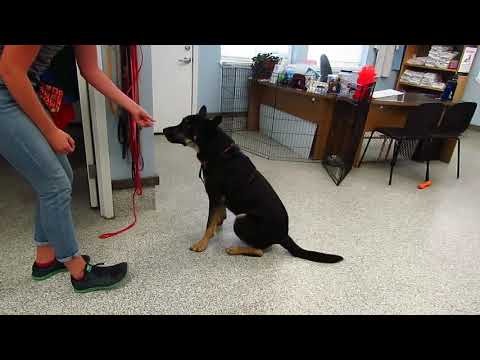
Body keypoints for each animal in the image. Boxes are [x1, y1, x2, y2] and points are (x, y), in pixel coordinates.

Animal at [163, 105, 344, 262]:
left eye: (186, 125)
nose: (163, 130)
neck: (218, 152)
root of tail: (283, 235)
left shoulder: (214, 196)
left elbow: (208, 224)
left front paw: (202, 243)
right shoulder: (219, 198)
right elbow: (217, 216)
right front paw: (217, 226)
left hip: (241, 220)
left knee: (259, 251)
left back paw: (235, 249)